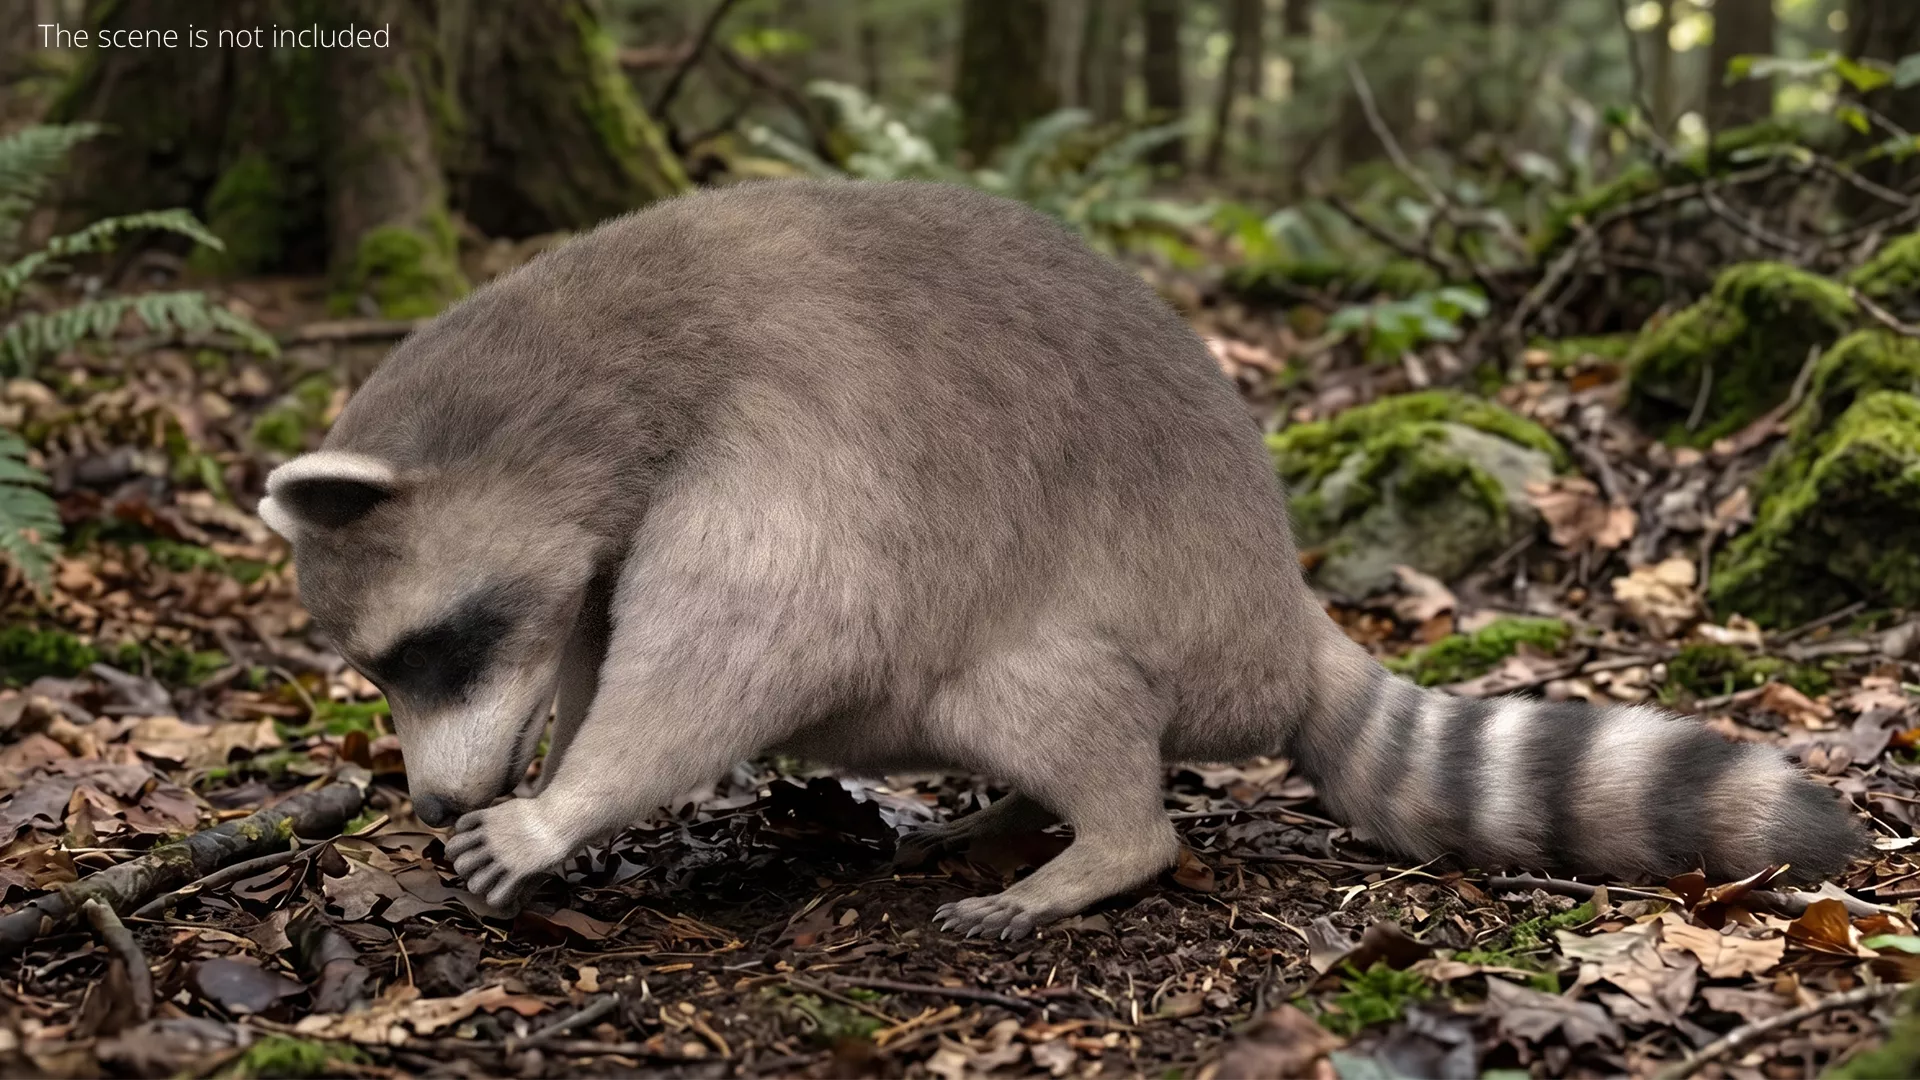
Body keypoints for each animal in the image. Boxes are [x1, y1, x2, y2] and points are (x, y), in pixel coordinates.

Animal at [260, 179, 1862, 938]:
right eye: (381, 668)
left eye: (429, 651)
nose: (433, 800)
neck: (600, 370)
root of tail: (1280, 616)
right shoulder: (594, 544)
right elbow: (603, 646)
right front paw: (556, 775)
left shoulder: (800, 435)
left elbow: (747, 648)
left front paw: (561, 806)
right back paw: (1009, 814)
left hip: (1137, 625)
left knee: (1027, 687)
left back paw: (1101, 840)